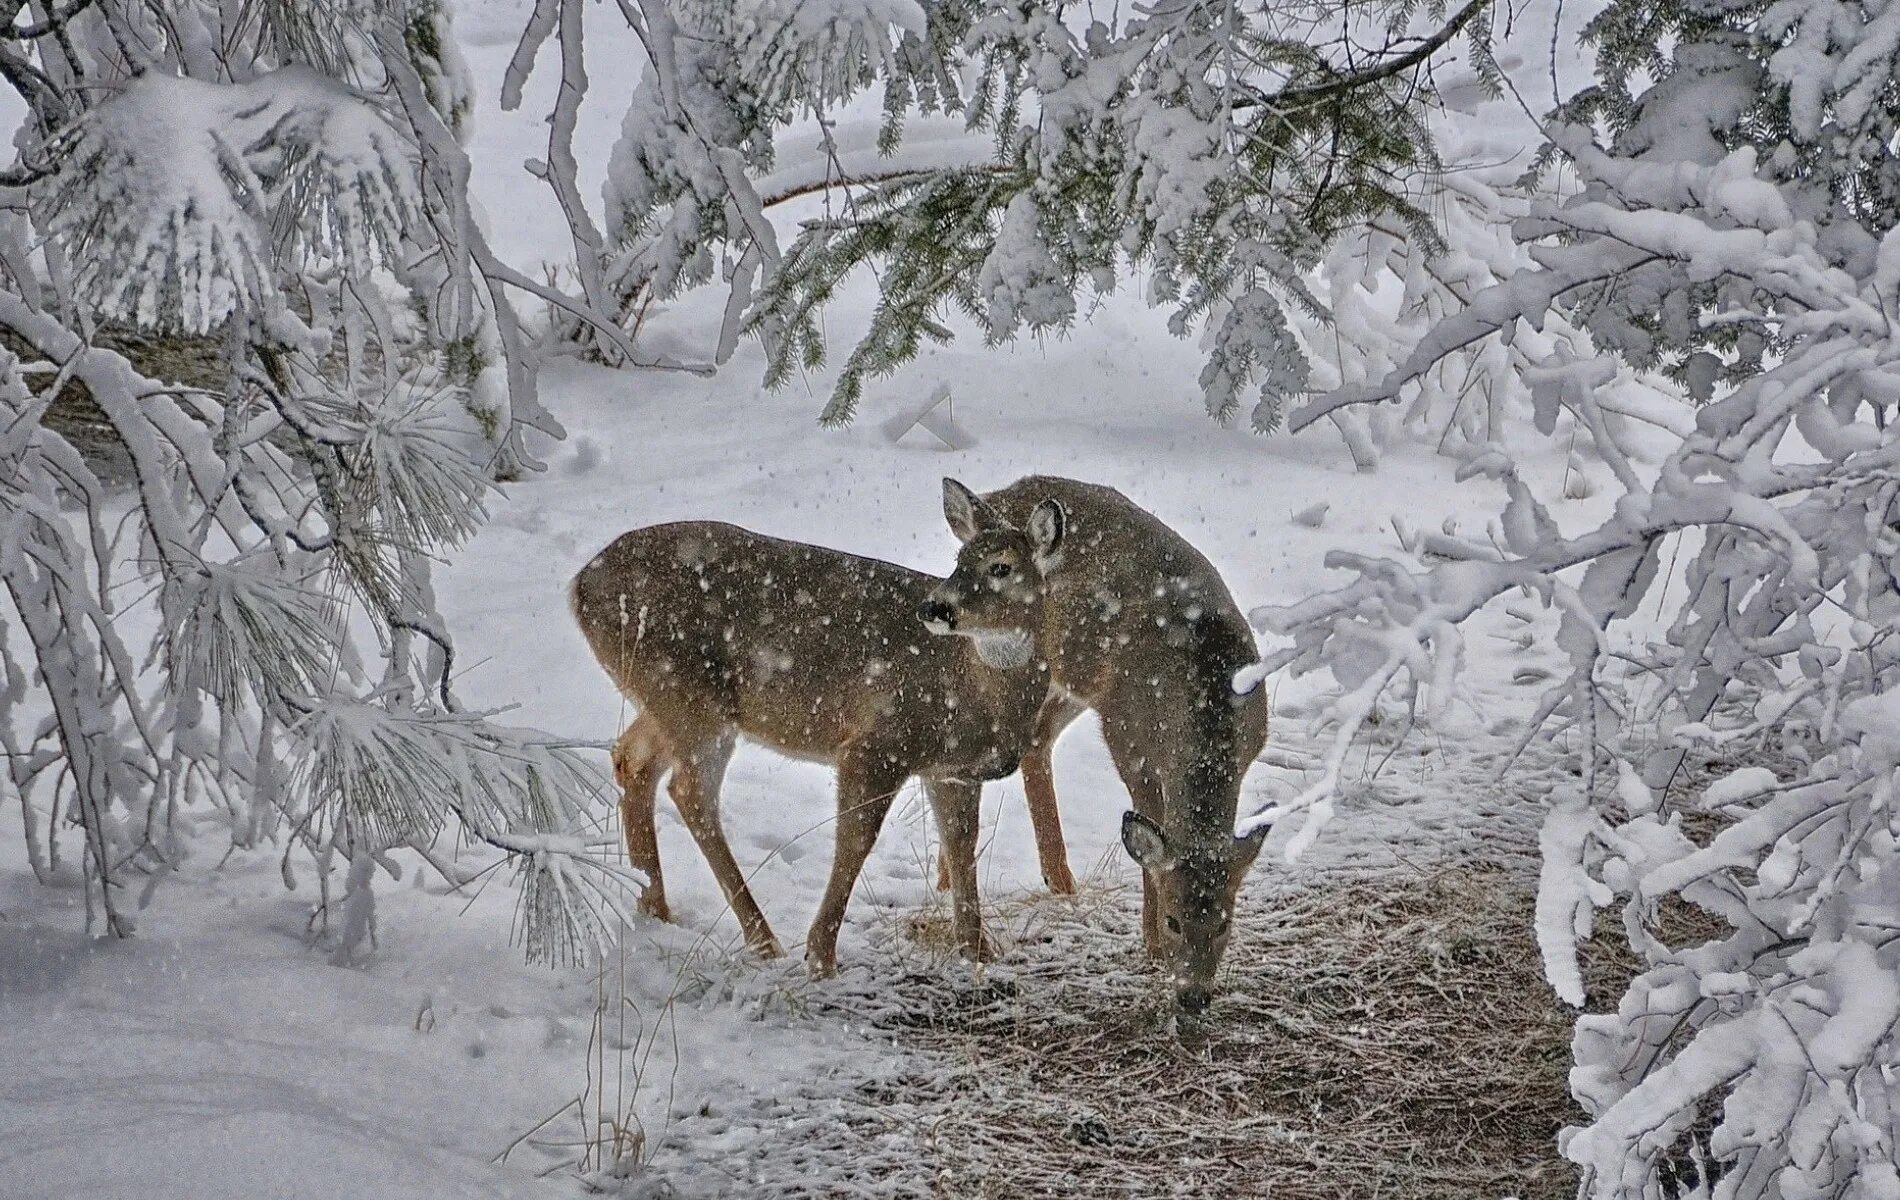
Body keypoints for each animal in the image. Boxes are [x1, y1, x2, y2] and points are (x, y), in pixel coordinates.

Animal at [562, 486, 1071, 972]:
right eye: (959, 560)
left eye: (1001, 566)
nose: (935, 608)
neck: (979, 689)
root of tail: (578, 586)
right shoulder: (877, 743)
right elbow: (856, 841)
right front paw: (821, 955)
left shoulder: (953, 770)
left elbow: (963, 846)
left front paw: (980, 950)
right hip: (689, 696)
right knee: (690, 791)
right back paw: (762, 939)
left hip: (665, 698)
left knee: (631, 759)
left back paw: (655, 910)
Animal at [927, 478, 1269, 1025]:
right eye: (1174, 920)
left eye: (1224, 923)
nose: (1193, 997)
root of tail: (997, 496)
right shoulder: (1128, 740)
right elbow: (1149, 840)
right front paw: (1151, 946)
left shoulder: (1250, 749)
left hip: (1073, 679)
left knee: (1036, 739)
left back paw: (1054, 879)